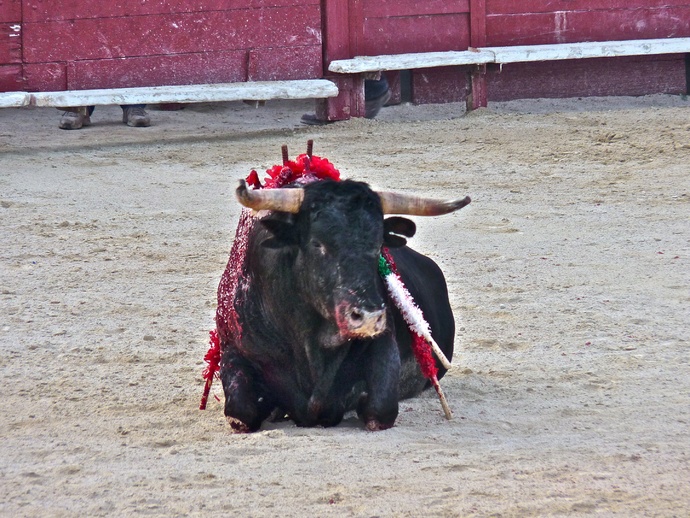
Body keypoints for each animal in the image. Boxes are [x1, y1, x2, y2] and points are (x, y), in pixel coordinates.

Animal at [216, 177, 470, 432]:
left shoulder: (383, 344)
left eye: (378, 244)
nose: (369, 318)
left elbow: (380, 409)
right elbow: (241, 413)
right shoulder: (236, 350)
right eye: (317, 244)